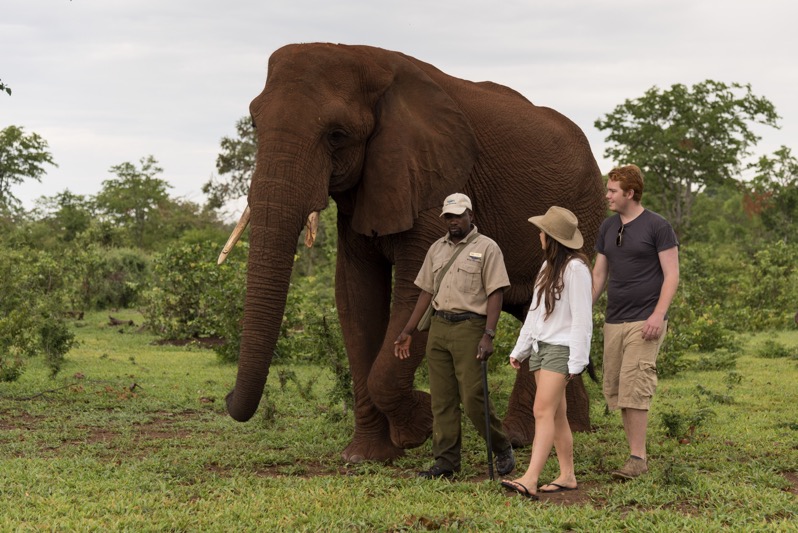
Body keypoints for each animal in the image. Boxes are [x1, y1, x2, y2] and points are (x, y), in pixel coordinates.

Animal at [219, 43, 608, 464]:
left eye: (337, 135)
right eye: (254, 125)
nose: (227, 398)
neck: (368, 60)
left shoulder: (432, 178)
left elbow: (415, 293)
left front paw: (419, 425)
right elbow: (355, 296)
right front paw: (365, 455)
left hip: (583, 211)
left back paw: (523, 435)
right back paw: (573, 428)